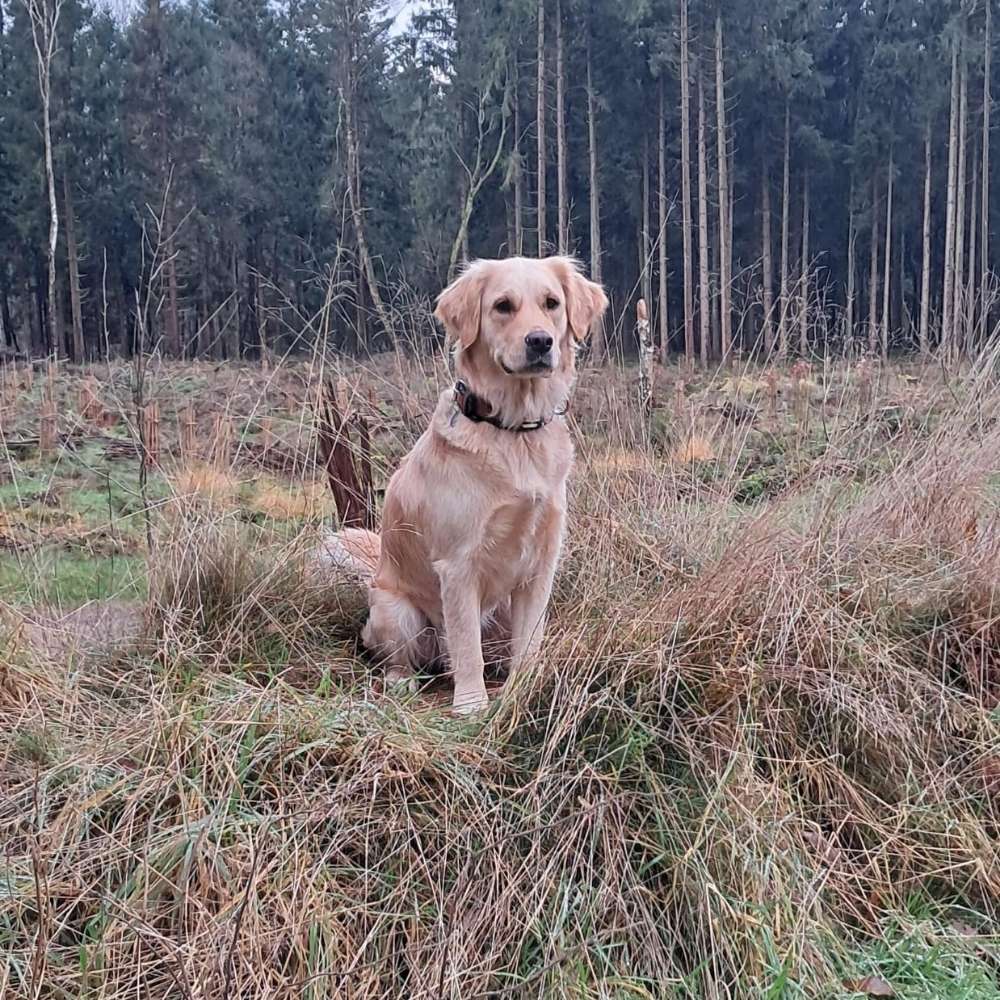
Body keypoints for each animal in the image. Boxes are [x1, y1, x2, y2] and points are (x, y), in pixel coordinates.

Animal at [330, 258, 608, 712]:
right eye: (502, 306)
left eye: (552, 303)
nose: (540, 342)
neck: (513, 430)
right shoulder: (459, 565)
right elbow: (466, 646)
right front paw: (472, 706)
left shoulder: (540, 565)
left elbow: (528, 643)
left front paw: (523, 690)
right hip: (396, 611)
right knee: (403, 657)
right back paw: (402, 680)